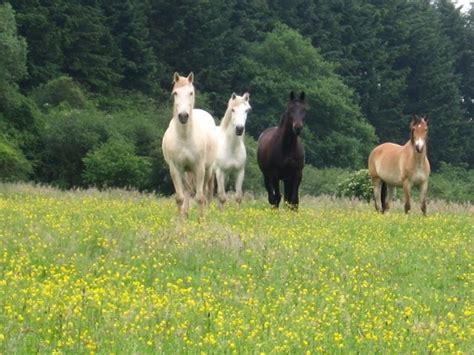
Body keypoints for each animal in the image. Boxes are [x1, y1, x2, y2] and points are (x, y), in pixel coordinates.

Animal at [161, 72, 217, 217]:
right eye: (175, 93)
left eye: (191, 93)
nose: (183, 116)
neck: (185, 138)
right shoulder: (175, 169)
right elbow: (179, 198)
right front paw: (180, 220)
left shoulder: (199, 167)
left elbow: (200, 197)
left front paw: (201, 219)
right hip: (186, 172)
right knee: (188, 190)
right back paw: (186, 213)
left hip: (207, 170)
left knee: (205, 193)